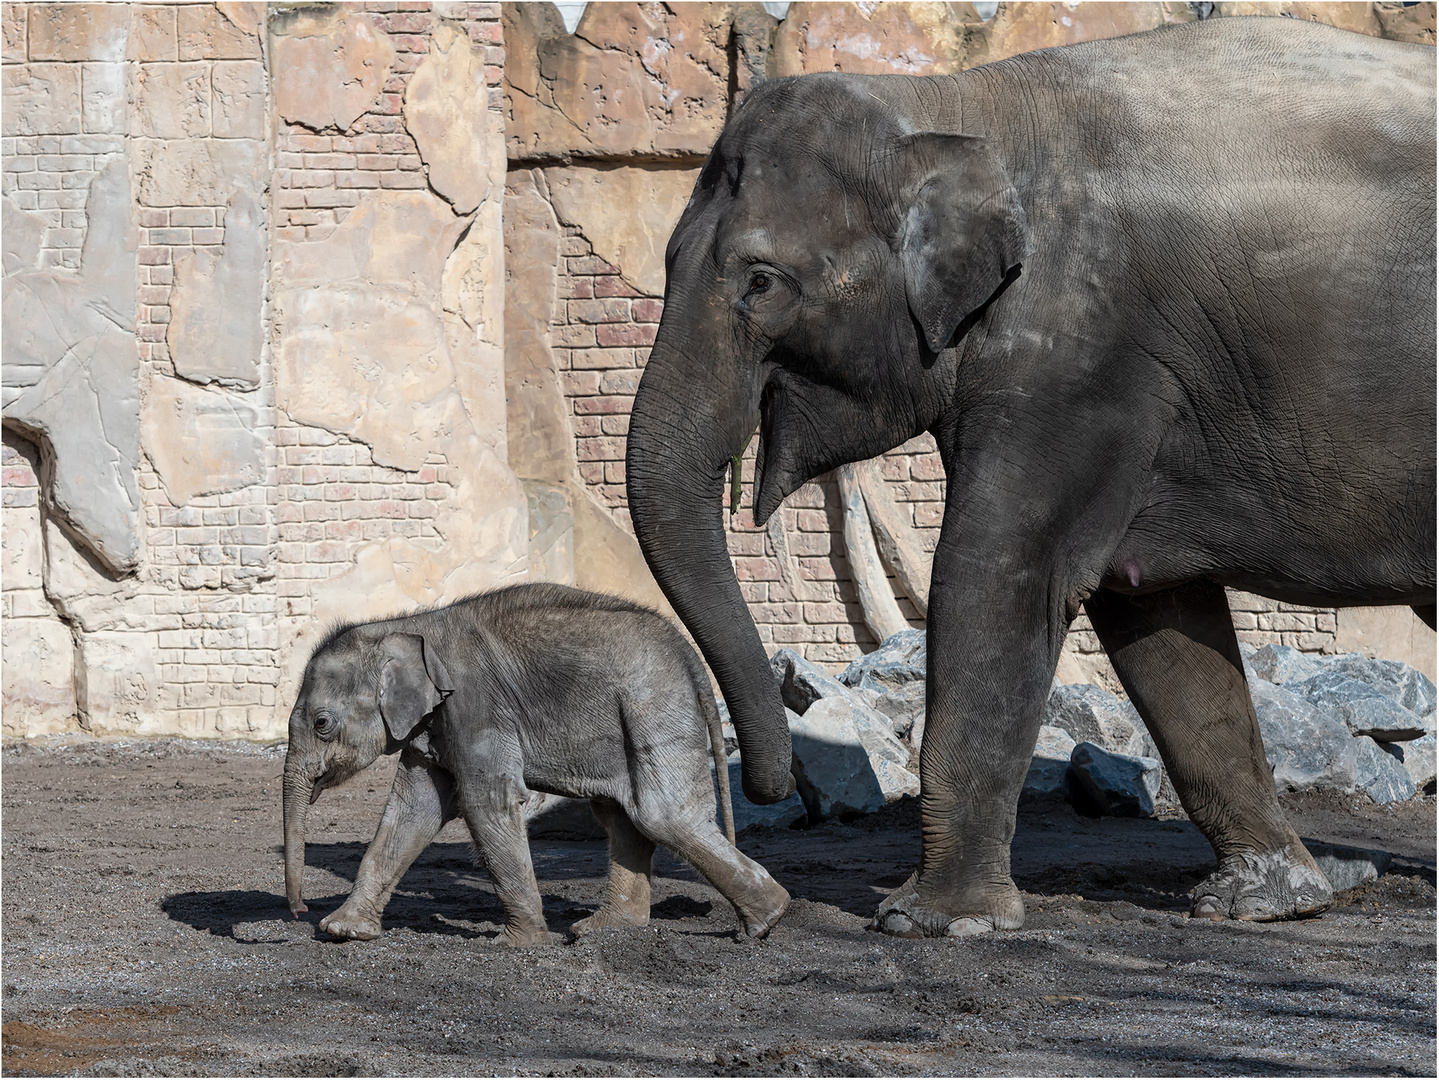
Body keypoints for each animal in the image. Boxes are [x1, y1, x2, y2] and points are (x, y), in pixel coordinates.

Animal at [279, 583, 788, 943]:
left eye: (322, 723)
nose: (299, 913)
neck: (407, 624)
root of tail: (688, 652)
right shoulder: (434, 724)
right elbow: (413, 810)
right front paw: (342, 932)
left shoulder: (477, 706)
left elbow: (486, 802)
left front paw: (520, 945)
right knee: (624, 817)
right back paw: (604, 931)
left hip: (653, 702)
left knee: (661, 815)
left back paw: (768, 920)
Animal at [624, 14, 1433, 937]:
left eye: (760, 282)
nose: (763, 789)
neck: (952, 105)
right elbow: (1148, 612)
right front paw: (1261, 904)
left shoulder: (1075, 351)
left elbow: (997, 574)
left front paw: (932, 922)